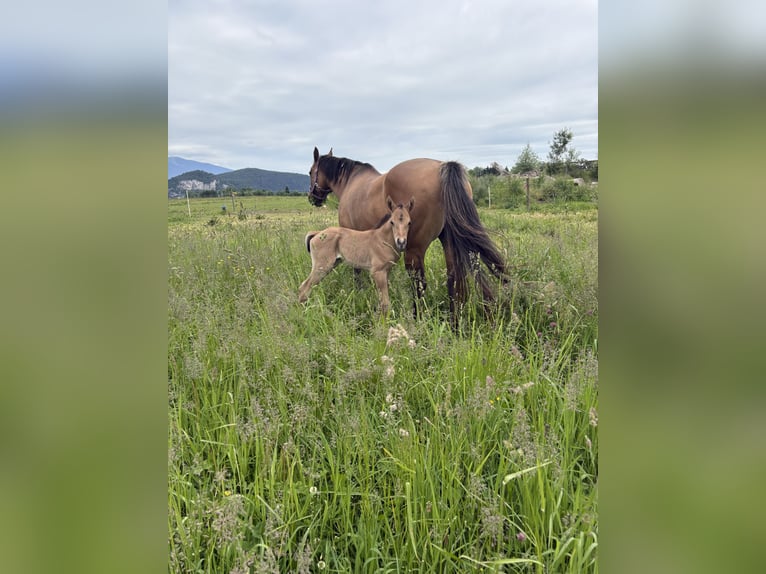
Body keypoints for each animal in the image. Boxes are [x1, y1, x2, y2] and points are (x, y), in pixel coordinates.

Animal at [307, 147, 507, 318]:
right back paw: (454, 323)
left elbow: (356, 271)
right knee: (454, 281)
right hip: (448, 244)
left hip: (413, 250)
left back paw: (416, 319)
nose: (313, 198)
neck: (350, 182)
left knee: (419, 284)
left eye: (310, 172)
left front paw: (359, 294)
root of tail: (441, 168)